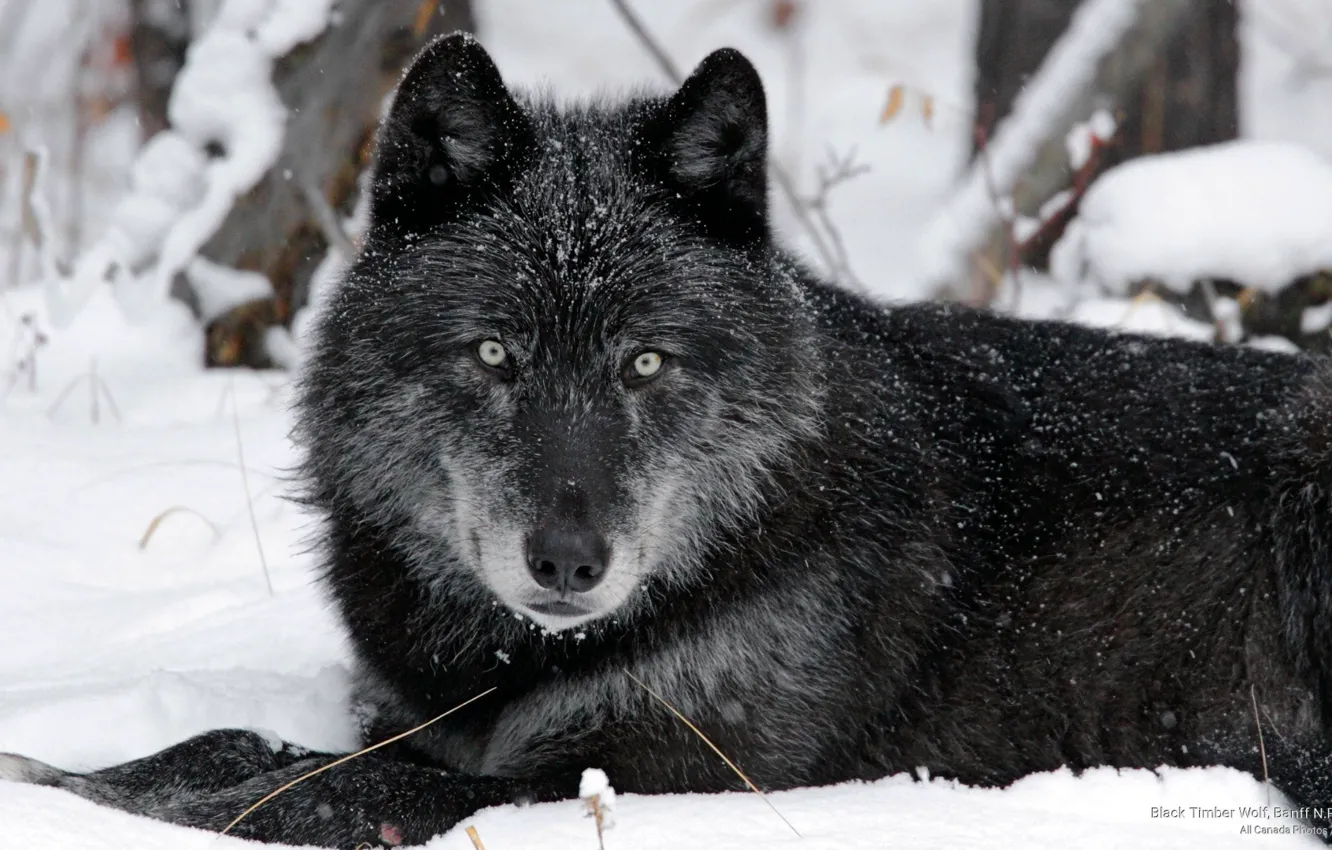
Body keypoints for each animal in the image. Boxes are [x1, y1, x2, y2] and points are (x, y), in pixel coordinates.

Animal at [5, 31, 1332, 847]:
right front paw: (71, 775)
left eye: (644, 363)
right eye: (497, 354)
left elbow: (331, 789)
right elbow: (243, 738)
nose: (567, 561)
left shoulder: (653, 773)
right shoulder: (410, 710)